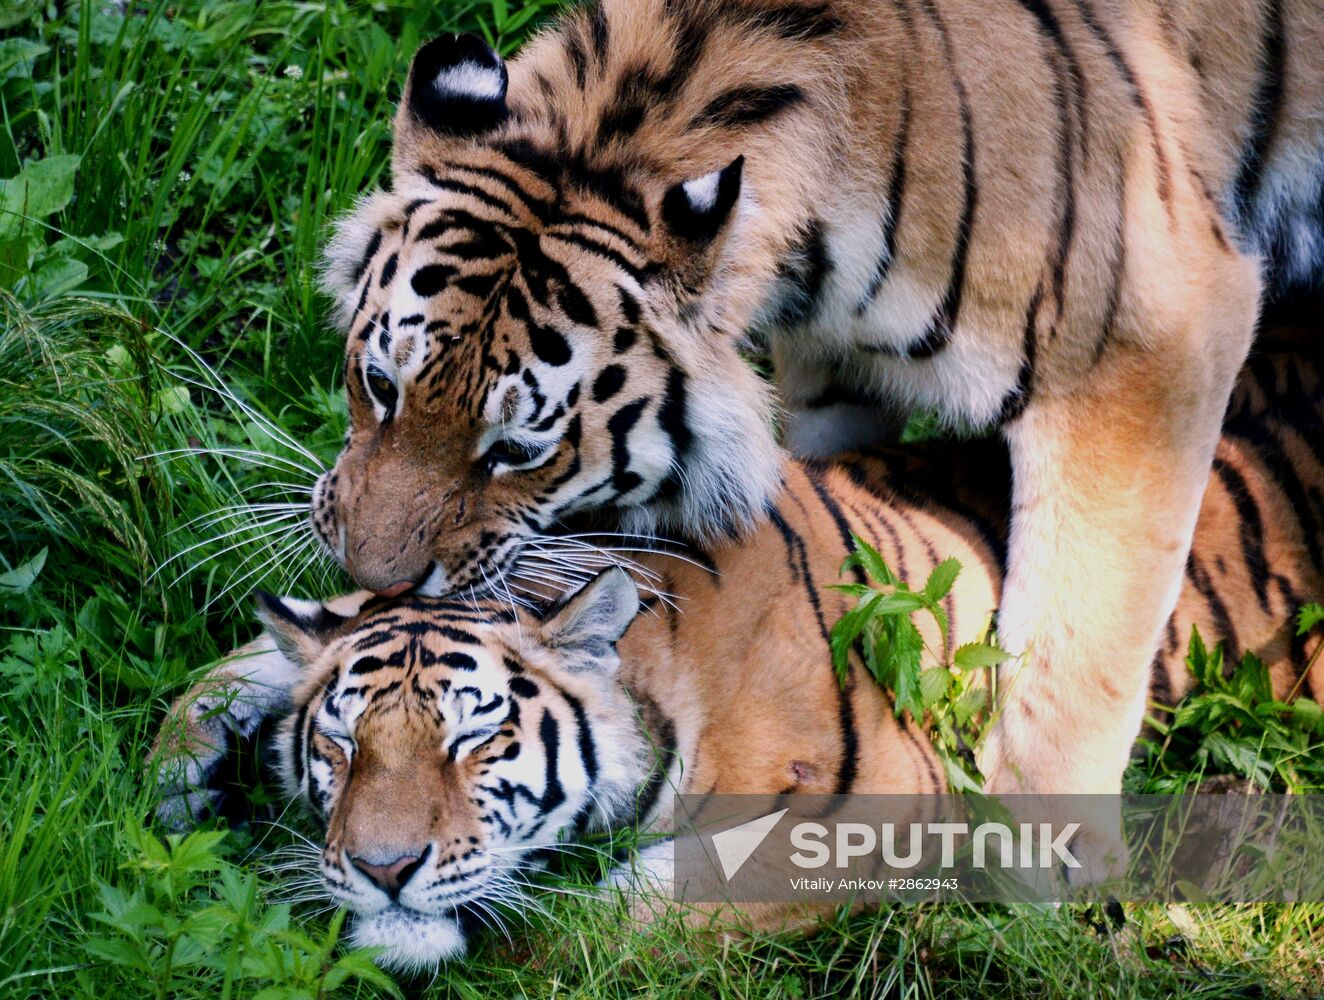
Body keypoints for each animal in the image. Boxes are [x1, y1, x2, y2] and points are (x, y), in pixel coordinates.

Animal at [154, 337, 1324, 969]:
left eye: (474, 742)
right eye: (342, 747)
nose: (383, 870)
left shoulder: (884, 799)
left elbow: (628, 909)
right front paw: (179, 774)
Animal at [307, 3, 1313, 831]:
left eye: (518, 449)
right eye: (380, 384)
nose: (373, 577)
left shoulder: (1155, 341)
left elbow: (1080, 655)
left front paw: (1033, 882)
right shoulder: (835, 359)